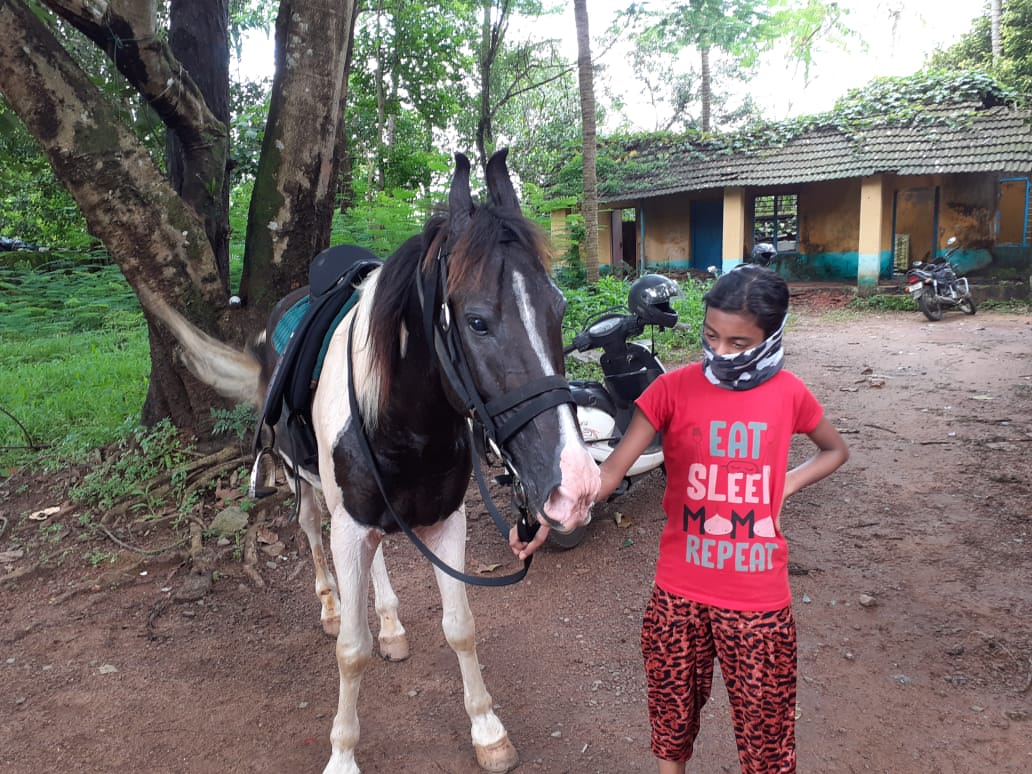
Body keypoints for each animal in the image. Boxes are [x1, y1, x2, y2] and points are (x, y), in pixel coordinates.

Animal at [143, 151, 598, 774]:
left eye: (559, 308)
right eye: (477, 321)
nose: (576, 484)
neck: (405, 421)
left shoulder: (445, 520)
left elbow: (461, 627)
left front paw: (486, 730)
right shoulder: (349, 524)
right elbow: (350, 652)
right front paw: (342, 753)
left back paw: (390, 625)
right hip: (310, 491)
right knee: (314, 534)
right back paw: (333, 607)